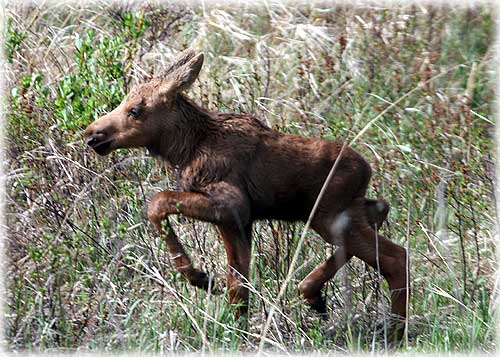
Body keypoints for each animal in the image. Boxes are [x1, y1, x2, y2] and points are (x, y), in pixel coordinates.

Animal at [84, 48, 408, 340]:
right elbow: (239, 286)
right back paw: (314, 294)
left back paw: (394, 330)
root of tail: (366, 169)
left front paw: (199, 277)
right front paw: (236, 330)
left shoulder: (233, 205)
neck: (185, 149)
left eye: (135, 110)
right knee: (381, 211)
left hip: (327, 217)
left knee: (396, 256)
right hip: (343, 212)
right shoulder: (238, 222)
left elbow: (157, 202)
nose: (92, 134)